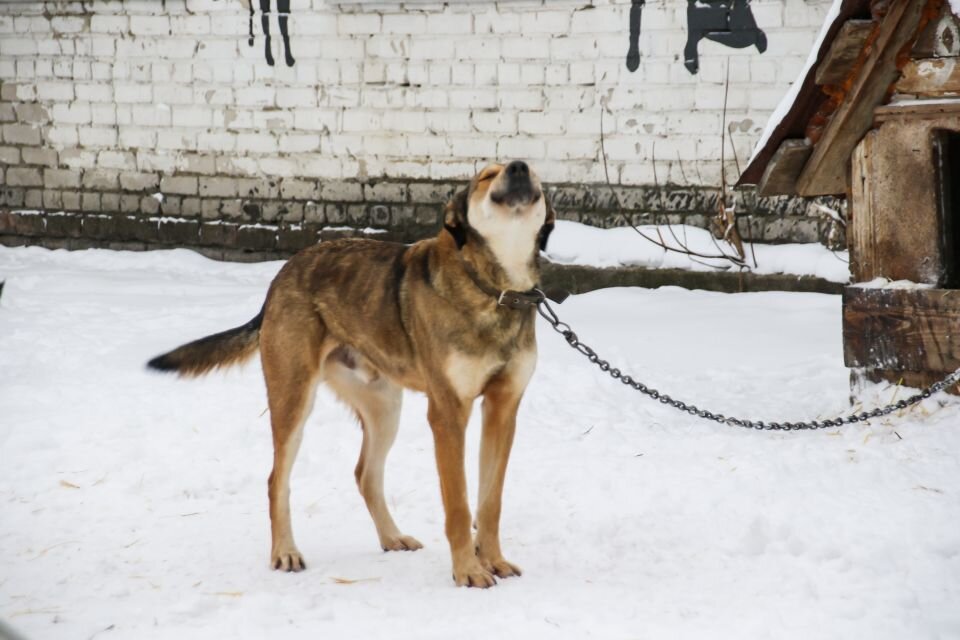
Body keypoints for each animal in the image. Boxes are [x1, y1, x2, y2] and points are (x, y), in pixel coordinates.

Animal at [148, 162, 556, 588]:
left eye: (533, 172)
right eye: (486, 176)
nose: (519, 166)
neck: (497, 288)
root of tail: (282, 275)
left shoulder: (503, 409)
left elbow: (490, 502)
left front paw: (492, 560)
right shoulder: (447, 413)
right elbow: (459, 505)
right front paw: (468, 571)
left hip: (384, 407)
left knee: (365, 474)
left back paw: (391, 537)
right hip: (293, 399)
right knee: (277, 479)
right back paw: (285, 552)